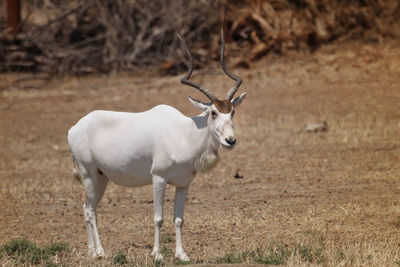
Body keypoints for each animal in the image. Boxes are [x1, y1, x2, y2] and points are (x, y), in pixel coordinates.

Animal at [67, 30, 245, 262]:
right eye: (213, 112)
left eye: (232, 111)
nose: (230, 140)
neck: (184, 133)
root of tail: (74, 128)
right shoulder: (158, 178)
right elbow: (158, 218)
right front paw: (158, 255)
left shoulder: (183, 183)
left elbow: (179, 219)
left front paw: (182, 255)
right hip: (89, 174)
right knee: (90, 210)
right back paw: (101, 252)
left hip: (101, 177)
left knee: (88, 207)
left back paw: (91, 251)